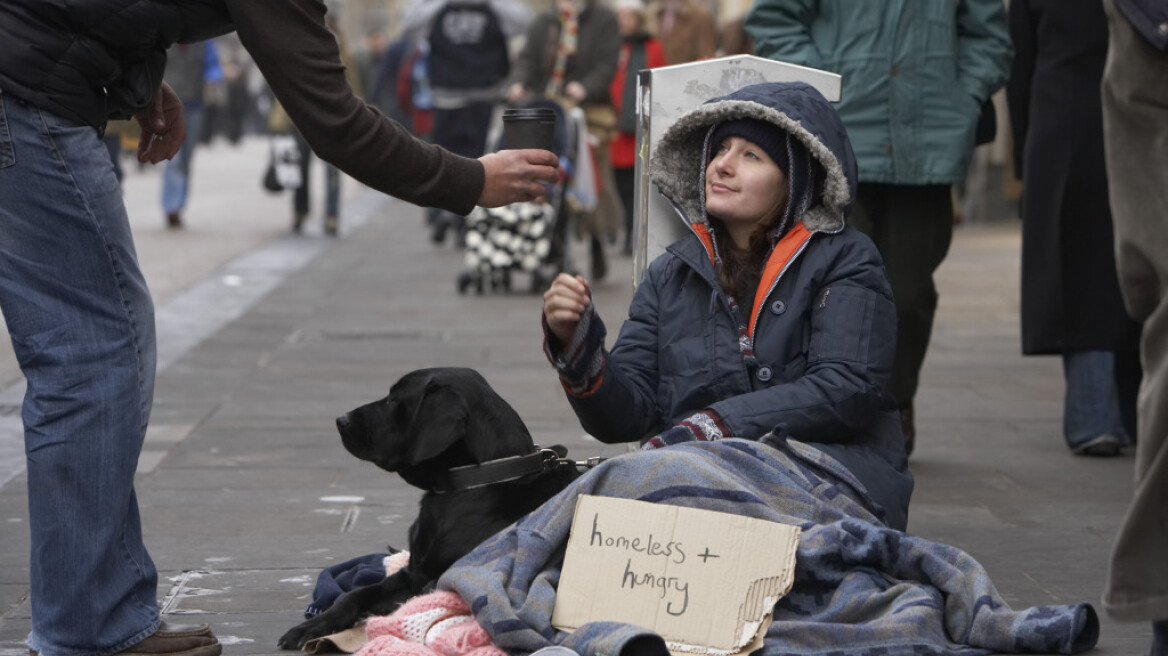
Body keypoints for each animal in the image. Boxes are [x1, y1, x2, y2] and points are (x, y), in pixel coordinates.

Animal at [277, 364, 579, 644]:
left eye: (393, 400)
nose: (341, 420)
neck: (474, 481)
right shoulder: (412, 572)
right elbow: (354, 595)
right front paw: (312, 626)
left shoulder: (445, 576)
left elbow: (422, 593)